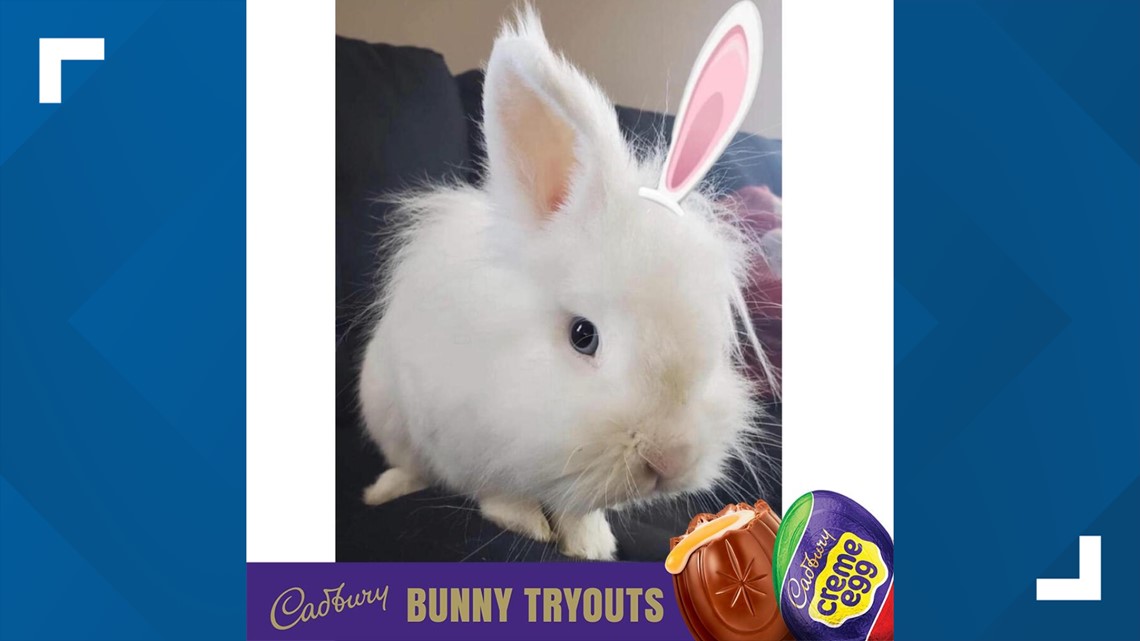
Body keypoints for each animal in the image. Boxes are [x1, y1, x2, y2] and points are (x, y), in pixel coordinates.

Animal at [358, 4, 773, 560]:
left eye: (716, 344)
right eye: (582, 335)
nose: (671, 458)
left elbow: (580, 510)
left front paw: (591, 544)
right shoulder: (463, 434)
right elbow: (497, 492)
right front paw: (528, 526)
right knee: (408, 465)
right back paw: (383, 491)